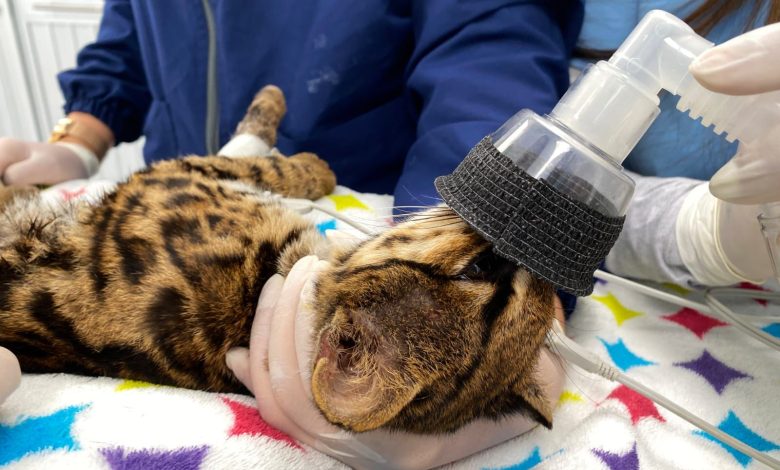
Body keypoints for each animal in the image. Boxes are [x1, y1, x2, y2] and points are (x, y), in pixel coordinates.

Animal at [0, 85, 557, 435]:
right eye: (479, 271)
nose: (532, 248)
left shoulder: (173, 175)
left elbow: (257, 157)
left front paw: (306, 155)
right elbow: (260, 158)